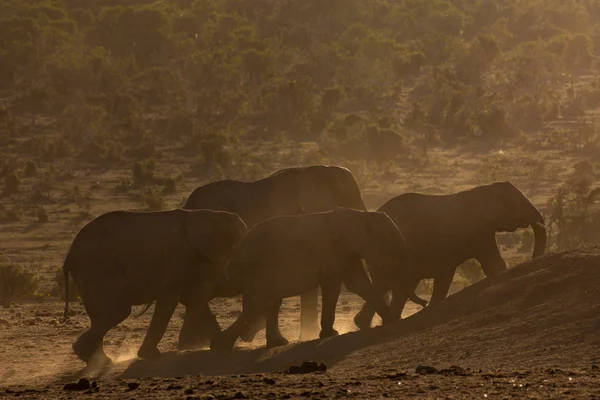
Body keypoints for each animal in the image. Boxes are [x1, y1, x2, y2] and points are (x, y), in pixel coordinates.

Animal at [62, 209, 245, 366]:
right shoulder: (176, 255)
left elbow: (193, 298)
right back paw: (88, 355)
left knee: (99, 314)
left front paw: (220, 346)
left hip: (87, 273)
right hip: (98, 268)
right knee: (118, 311)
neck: (206, 214)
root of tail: (69, 255)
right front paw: (150, 355)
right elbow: (170, 297)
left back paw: (97, 359)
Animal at [209, 208, 410, 352]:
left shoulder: (345, 252)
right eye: (389, 241)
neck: (360, 215)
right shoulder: (332, 252)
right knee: (259, 304)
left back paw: (275, 343)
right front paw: (331, 334)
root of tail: (236, 252)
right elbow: (333, 286)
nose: (398, 317)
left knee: (268, 303)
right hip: (258, 269)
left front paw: (391, 320)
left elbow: (357, 283)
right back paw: (220, 345)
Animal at [352, 181, 548, 328]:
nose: (533, 259)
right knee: (397, 285)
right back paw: (387, 321)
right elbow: (494, 263)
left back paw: (367, 323)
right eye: (520, 204)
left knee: (385, 285)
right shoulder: (479, 232)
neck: (484, 189)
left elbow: (445, 275)